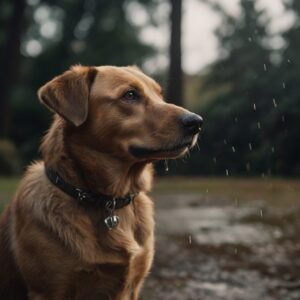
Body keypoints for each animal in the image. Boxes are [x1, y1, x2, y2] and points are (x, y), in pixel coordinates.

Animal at [0, 64, 203, 298]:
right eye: (130, 95)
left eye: (159, 94)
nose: (197, 122)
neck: (108, 200)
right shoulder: (47, 291)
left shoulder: (131, 286)